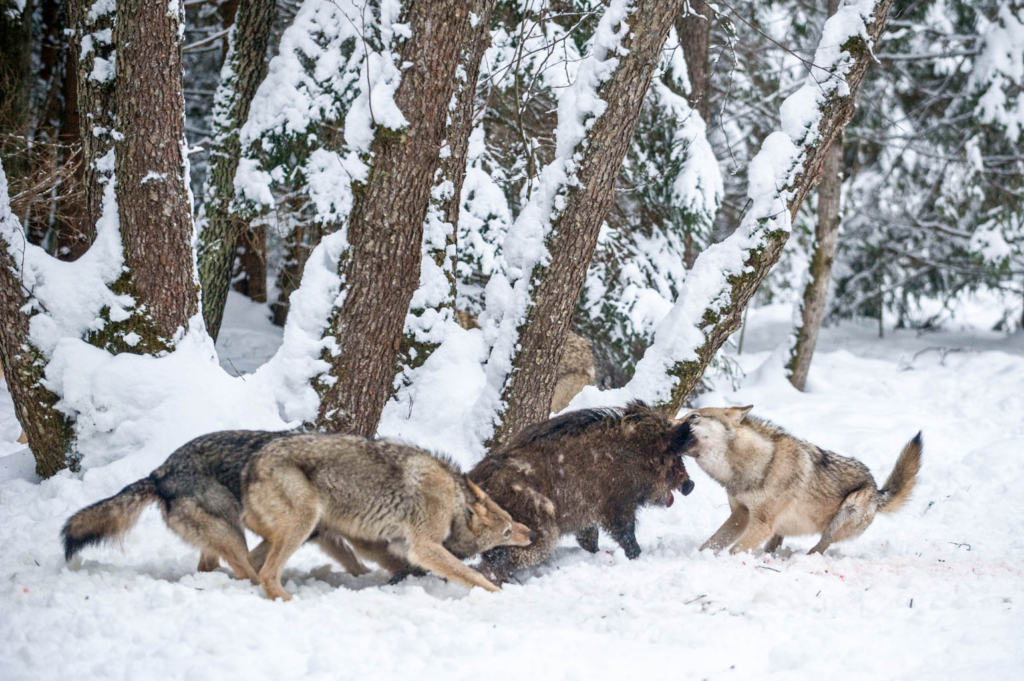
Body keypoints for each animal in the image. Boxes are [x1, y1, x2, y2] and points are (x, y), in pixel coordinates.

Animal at [471, 399, 696, 585]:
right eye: (673, 457)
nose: (690, 485)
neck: (637, 457)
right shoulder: (616, 506)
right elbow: (626, 534)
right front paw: (636, 556)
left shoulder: (586, 516)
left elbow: (590, 539)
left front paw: (597, 554)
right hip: (536, 532)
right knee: (497, 559)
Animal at [675, 405, 925, 557]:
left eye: (693, 416)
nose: (669, 421)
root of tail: (877, 489)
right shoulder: (740, 517)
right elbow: (709, 544)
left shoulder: (761, 523)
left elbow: (733, 551)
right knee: (776, 544)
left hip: (845, 512)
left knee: (820, 547)